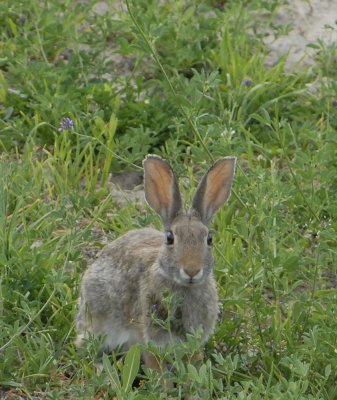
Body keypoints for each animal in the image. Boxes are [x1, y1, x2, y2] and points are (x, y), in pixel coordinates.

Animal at [75, 155, 235, 370]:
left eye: (209, 239)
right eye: (169, 238)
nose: (192, 270)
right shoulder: (149, 338)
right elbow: (155, 366)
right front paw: (162, 381)